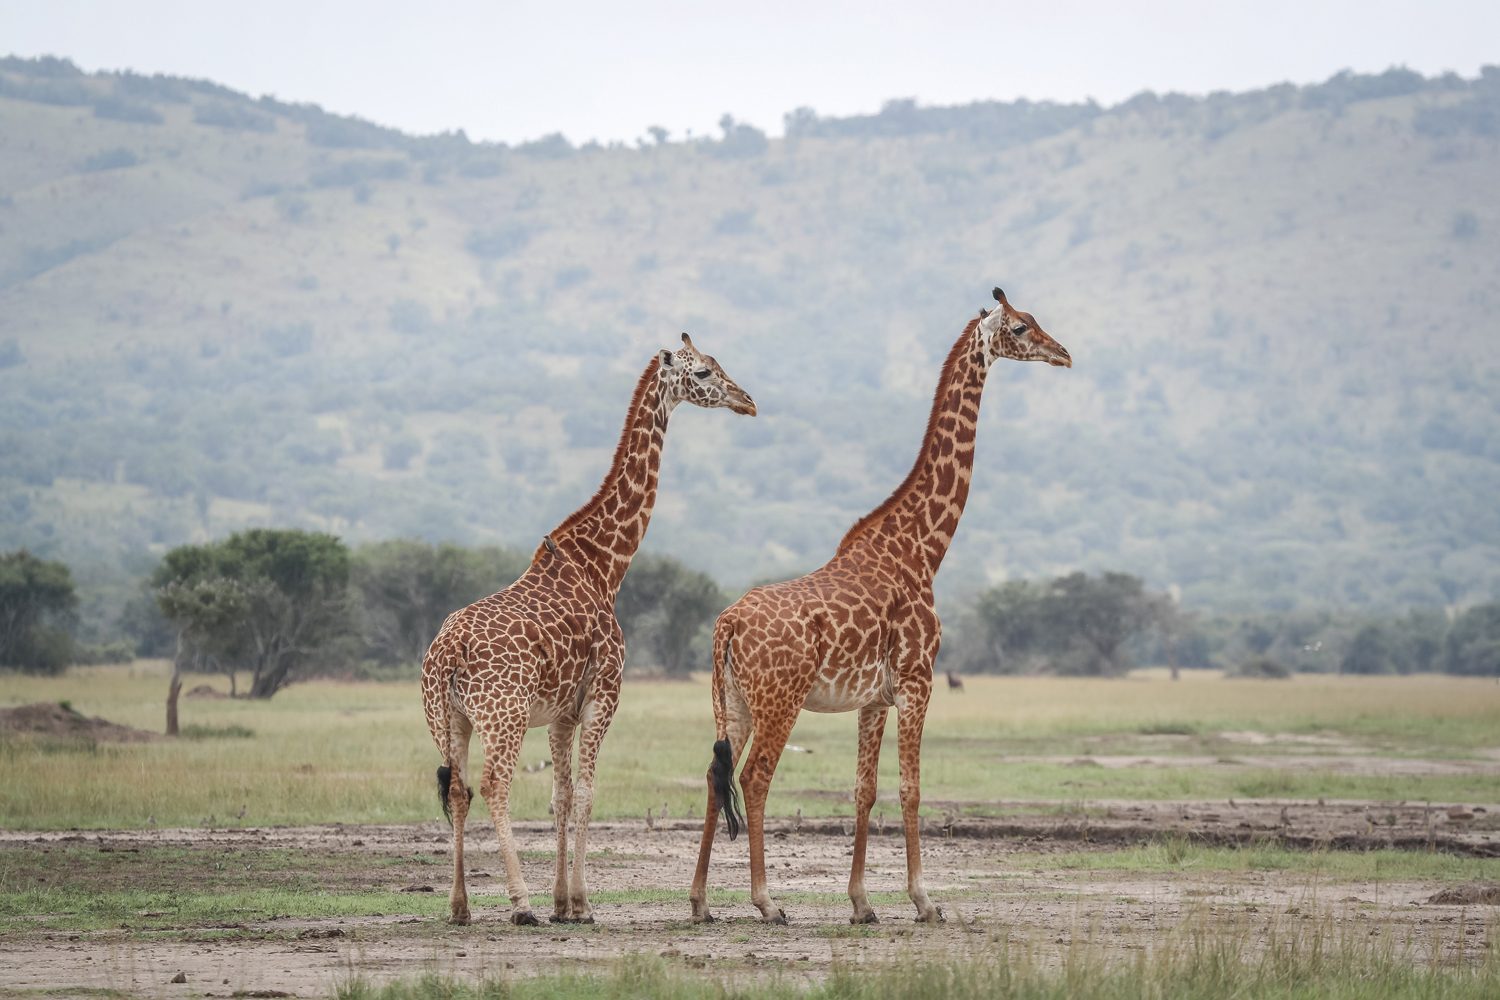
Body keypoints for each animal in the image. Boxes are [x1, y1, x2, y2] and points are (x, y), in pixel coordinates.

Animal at [421, 333, 755, 927]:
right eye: (703, 371)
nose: (747, 401)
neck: (604, 565)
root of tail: (447, 653)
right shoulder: (605, 692)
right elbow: (586, 793)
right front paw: (579, 902)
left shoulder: (560, 710)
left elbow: (560, 794)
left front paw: (563, 902)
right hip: (502, 715)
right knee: (493, 785)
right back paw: (519, 903)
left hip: (448, 719)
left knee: (457, 789)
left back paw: (460, 906)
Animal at [689, 288, 1071, 925]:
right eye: (1021, 327)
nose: (1062, 353)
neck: (922, 548)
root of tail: (727, 625)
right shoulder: (919, 680)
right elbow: (911, 788)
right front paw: (924, 901)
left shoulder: (873, 697)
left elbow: (864, 789)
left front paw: (862, 903)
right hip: (780, 700)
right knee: (756, 778)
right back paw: (767, 902)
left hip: (734, 703)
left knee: (716, 777)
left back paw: (697, 902)